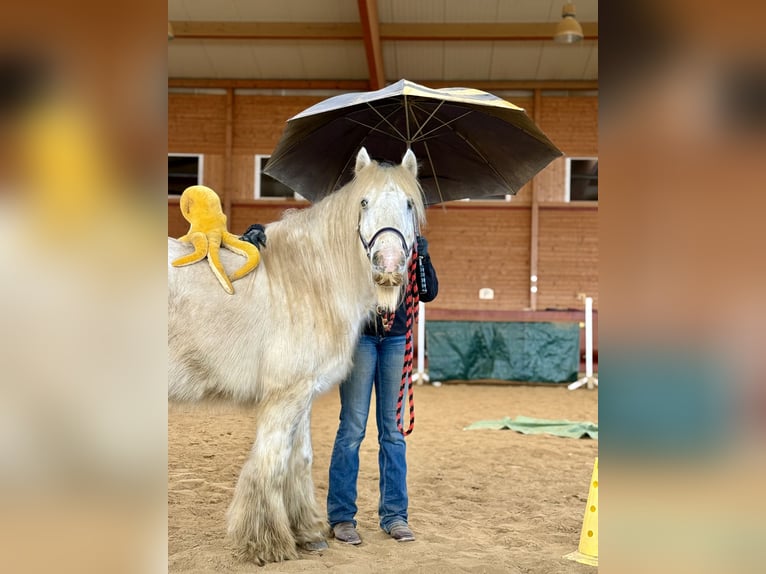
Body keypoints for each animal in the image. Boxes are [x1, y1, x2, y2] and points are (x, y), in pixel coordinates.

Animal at [167, 147, 426, 564]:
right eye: (364, 202)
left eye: (409, 203)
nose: (387, 267)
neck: (305, 281)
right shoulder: (285, 395)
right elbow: (271, 464)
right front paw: (267, 543)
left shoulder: (302, 392)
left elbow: (299, 459)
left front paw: (308, 532)